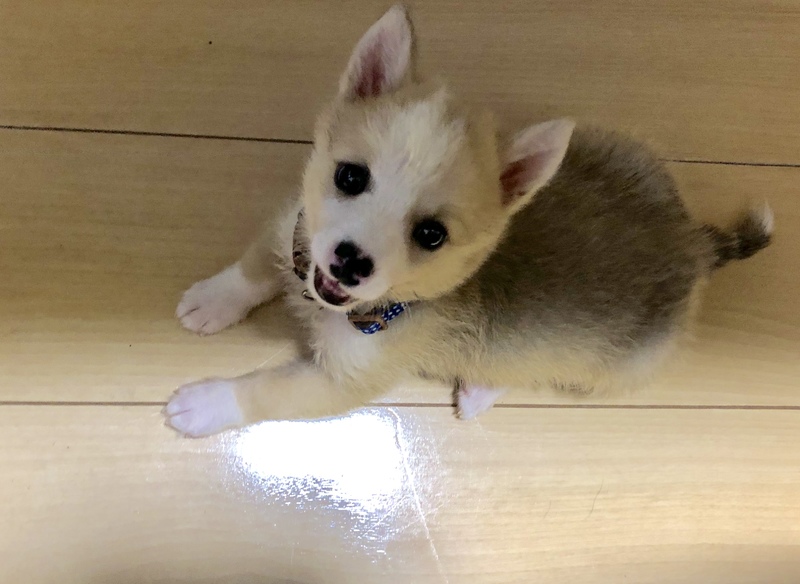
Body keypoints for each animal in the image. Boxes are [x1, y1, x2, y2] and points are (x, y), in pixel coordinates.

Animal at [165, 5, 772, 437]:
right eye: (350, 177)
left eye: (431, 235)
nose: (350, 263)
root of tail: (691, 244)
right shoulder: (293, 224)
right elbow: (252, 269)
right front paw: (212, 301)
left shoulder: (339, 381)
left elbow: (266, 389)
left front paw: (206, 403)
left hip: (601, 368)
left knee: (531, 368)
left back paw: (481, 389)